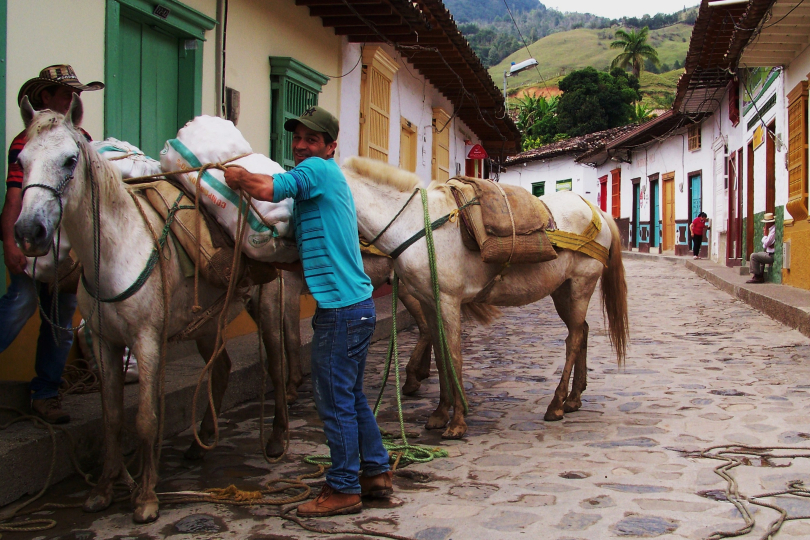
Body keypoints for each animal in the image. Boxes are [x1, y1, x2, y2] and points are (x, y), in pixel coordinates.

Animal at [15, 97, 290, 524]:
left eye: (69, 160)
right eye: (22, 159)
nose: (30, 232)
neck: (117, 248)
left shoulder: (146, 340)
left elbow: (146, 418)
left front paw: (145, 497)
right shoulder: (105, 343)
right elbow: (112, 418)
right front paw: (104, 490)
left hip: (267, 306)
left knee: (276, 365)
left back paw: (276, 440)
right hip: (206, 322)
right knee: (221, 370)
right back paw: (200, 442)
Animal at [340, 156, 624, 438]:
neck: (415, 225)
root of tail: (596, 211)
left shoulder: (448, 301)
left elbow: (454, 356)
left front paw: (457, 421)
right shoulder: (429, 302)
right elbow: (441, 356)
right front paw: (439, 414)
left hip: (580, 285)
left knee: (573, 338)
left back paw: (556, 404)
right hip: (562, 291)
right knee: (582, 331)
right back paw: (573, 399)